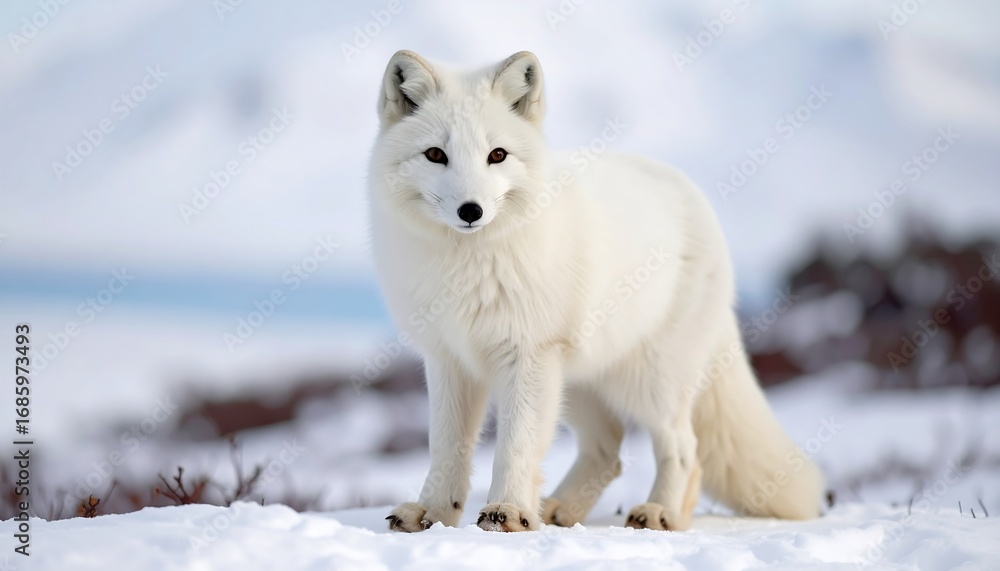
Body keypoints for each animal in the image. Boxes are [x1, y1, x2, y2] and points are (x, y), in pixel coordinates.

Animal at [369, 50, 824, 533]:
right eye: (435, 154)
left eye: (497, 155)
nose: (470, 210)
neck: (466, 265)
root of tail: (694, 196)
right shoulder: (448, 359)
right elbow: (446, 447)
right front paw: (433, 513)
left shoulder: (527, 354)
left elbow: (515, 445)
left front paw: (507, 512)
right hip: (577, 382)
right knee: (608, 451)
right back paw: (557, 511)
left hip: (650, 380)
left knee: (685, 448)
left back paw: (660, 513)